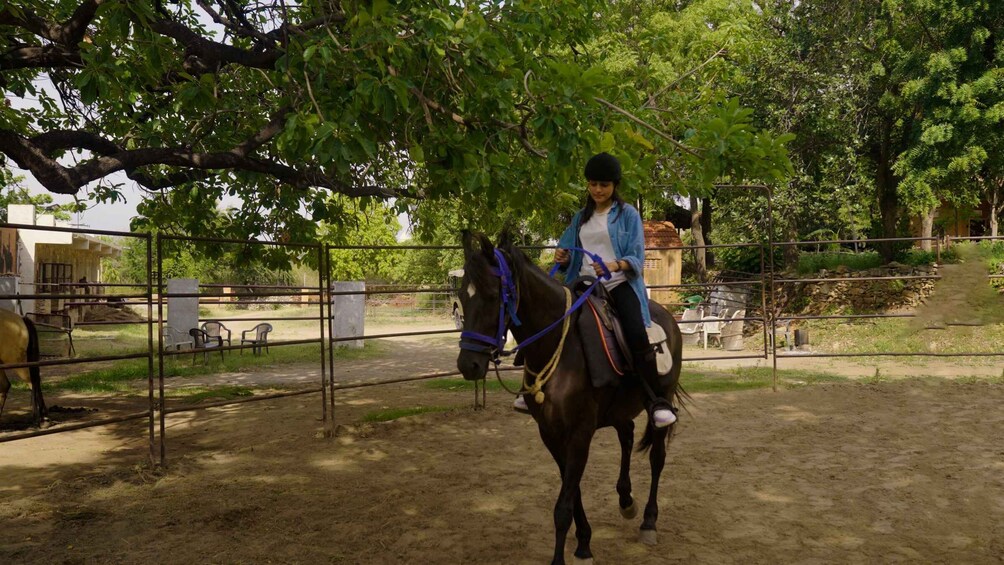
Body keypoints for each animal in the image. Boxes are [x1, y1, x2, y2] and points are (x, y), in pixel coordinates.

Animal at [459, 230, 686, 565]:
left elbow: (563, 505)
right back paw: (625, 499)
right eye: (462, 296)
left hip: (662, 398)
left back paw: (648, 521)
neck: (562, 347)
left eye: (491, 295)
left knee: (657, 457)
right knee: (627, 435)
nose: (468, 364)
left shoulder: (579, 432)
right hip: (618, 409)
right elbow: (572, 490)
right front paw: (584, 543)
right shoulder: (551, 433)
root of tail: (669, 319)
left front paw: (565, 556)